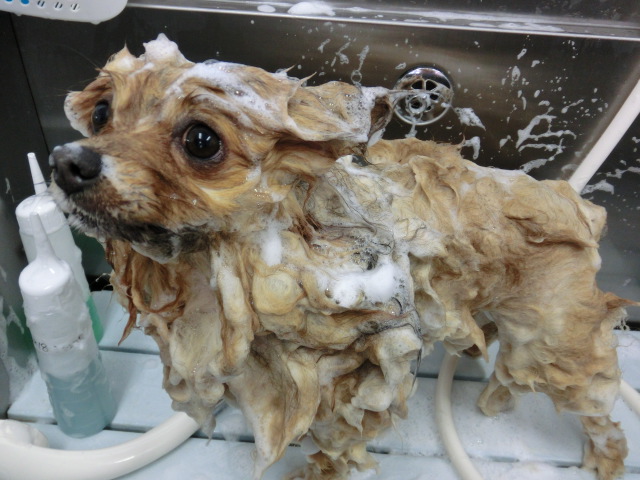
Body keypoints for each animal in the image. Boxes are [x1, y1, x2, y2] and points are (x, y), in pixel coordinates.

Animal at [49, 35, 631, 480]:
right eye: (100, 113)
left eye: (201, 140)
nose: (67, 162)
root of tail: (575, 204)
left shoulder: (345, 398)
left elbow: (334, 451)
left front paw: (314, 473)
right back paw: (493, 401)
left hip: (557, 347)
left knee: (597, 410)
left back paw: (603, 458)